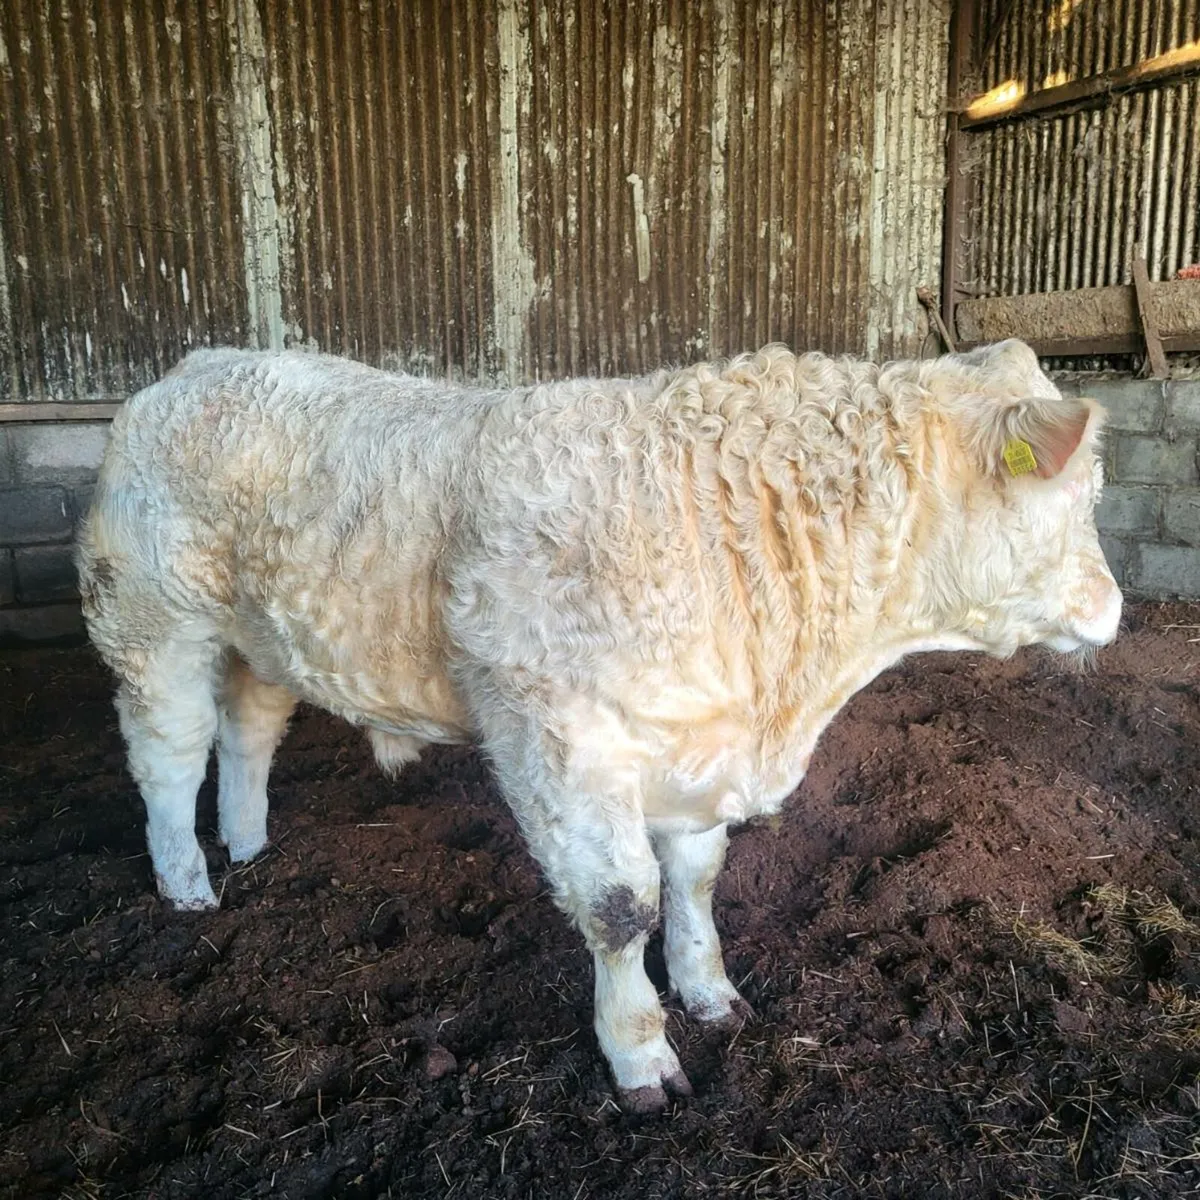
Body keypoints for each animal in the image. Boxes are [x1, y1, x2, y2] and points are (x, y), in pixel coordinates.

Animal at [76, 339, 1121, 1111]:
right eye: (1078, 496)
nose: (1115, 609)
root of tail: (194, 369)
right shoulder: (562, 740)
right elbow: (623, 905)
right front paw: (640, 1057)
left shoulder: (696, 743)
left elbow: (695, 880)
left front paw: (709, 992)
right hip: (150, 624)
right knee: (168, 754)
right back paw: (189, 884)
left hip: (264, 639)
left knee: (249, 732)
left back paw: (250, 847)